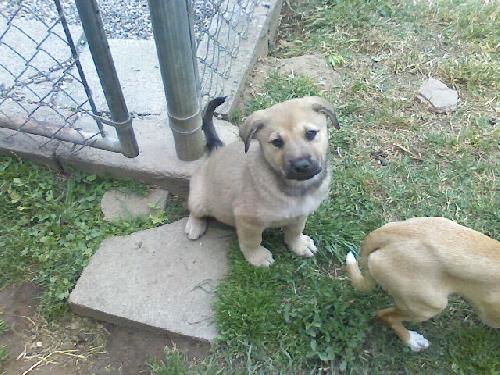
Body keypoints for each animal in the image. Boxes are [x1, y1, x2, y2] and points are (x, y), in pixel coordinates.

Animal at [187, 97, 340, 268]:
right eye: (277, 142)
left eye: (311, 133)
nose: (301, 165)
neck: (295, 188)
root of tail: (215, 152)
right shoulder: (247, 220)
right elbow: (252, 241)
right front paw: (258, 257)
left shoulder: (301, 213)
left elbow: (295, 230)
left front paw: (299, 245)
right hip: (199, 199)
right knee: (194, 211)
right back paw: (194, 226)